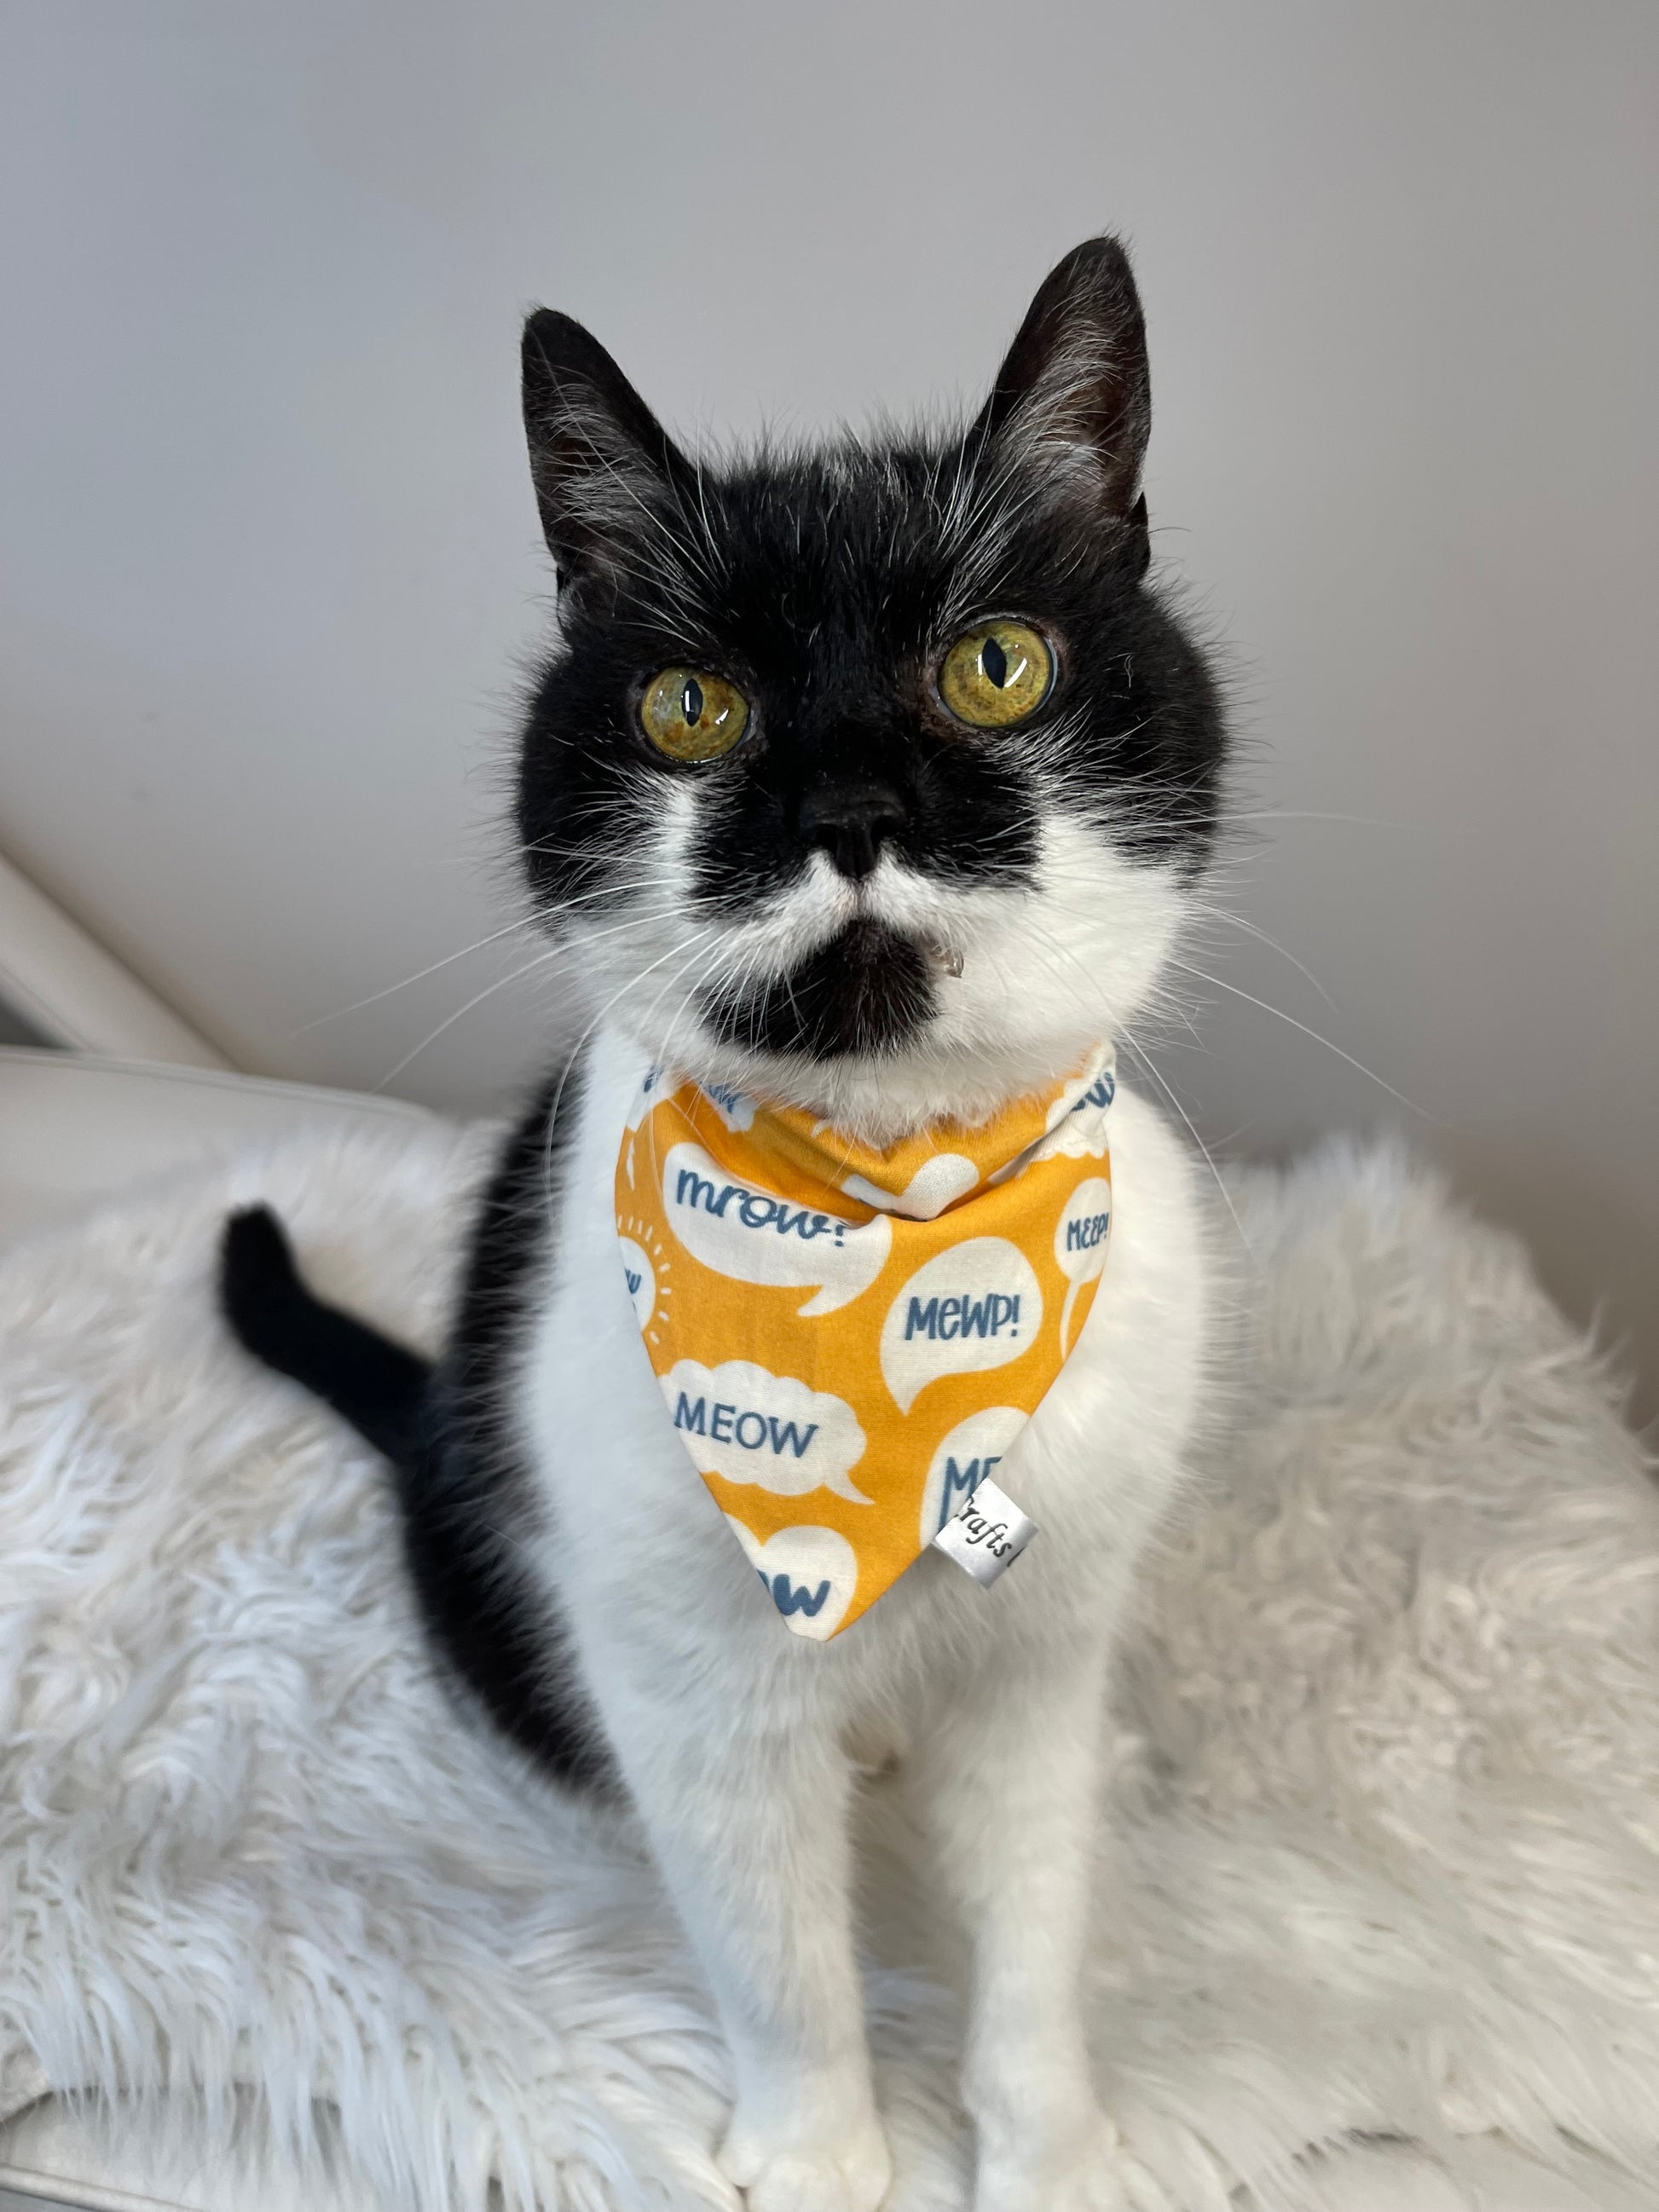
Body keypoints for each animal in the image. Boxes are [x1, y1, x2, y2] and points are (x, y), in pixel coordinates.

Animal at [228, 242, 1229, 2212]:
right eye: (688, 705)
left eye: (996, 665)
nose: (849, 803)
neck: (888, 1216)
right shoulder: (689, 1688)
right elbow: (775, 1952)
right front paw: (819, 2151)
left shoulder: (1039, 1656)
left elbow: (1036, 1915)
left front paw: (1050, 2145)